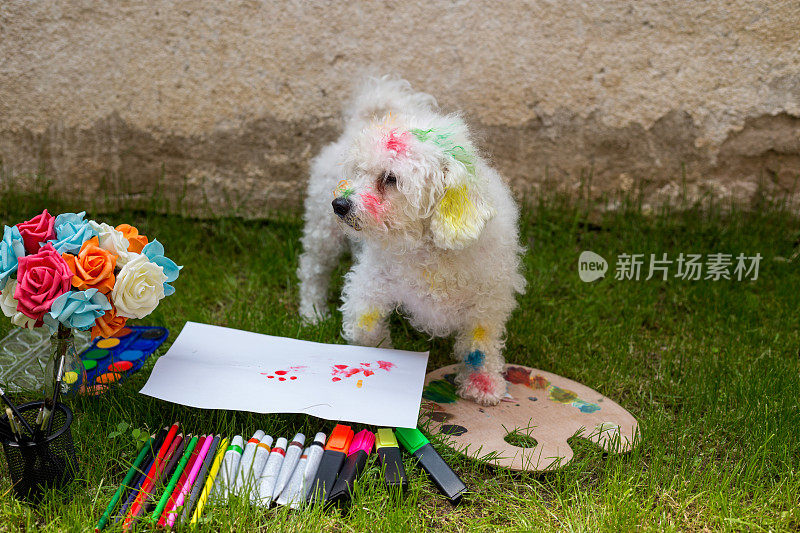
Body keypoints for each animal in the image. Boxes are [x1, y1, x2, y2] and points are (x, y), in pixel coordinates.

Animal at [298, 77, 524, 404]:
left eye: (390, 178)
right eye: (357, 172)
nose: (340, 204)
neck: (430, 251)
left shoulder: (488, 302)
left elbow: (480, 346)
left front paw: (484, 385)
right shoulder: (368, 289)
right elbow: (367, 330)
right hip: (322, 231)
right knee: (312, 270)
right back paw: (312, 313)